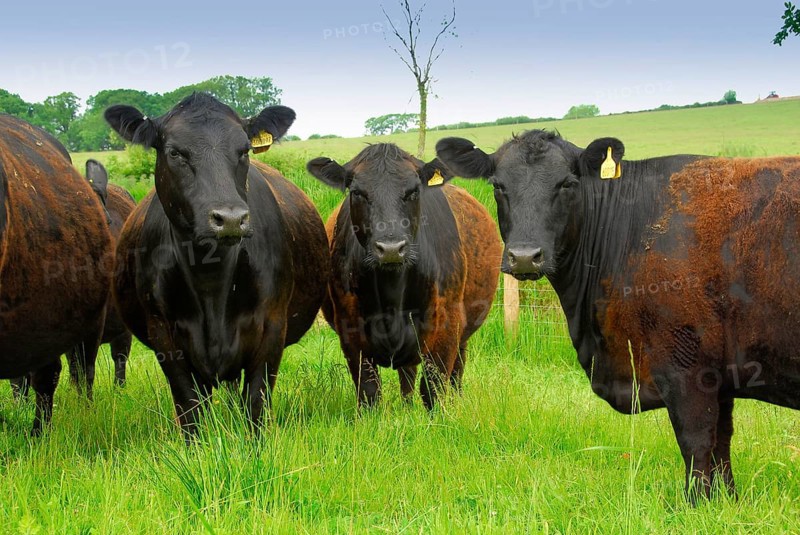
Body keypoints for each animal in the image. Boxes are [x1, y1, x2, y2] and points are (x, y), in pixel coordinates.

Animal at [105, 92, 329, 437]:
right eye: (175, 152)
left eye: (244, 150)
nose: (231, 218)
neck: (211, 280)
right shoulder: (164, 335)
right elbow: (190, 411)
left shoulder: (272, 328)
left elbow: (255, 405)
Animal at [307, 143, 502, 408]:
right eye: (357, 192)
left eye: (413, 191)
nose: (390, 248)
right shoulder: (351, 332)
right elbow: (369, 392)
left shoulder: (446, 327)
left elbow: (433, 390)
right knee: (407, 375)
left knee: (456, 371)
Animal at [436, 131, 800, 500]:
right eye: (497, 185)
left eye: (567, 183)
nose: (525, 256)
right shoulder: (722, 374)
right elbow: (721, 444)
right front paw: (726, 500)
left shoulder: (687, 368)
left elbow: (696, 442)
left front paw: (696, 502)